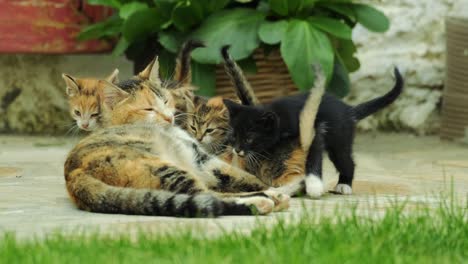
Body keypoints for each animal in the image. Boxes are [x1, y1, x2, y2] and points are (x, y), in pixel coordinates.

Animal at [62, 57, 288, 217]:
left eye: (164, 100)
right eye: (148, 108)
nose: (170, 117)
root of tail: (74, 175)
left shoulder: (201, 158)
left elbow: (242, 177)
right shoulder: (200, 159)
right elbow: (237, 179)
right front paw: (270, 192)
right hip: (163, 168)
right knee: (207, 197)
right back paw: (263, 201)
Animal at [221, 46, 404, 197]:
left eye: (249, 138)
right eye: (233, 136)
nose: (237, 149)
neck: (281, 119)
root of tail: (347, 110)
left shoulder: (313, 130)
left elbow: (313, 156)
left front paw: (314, 185)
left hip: (339, 138)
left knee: (345, 159)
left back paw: (344, 185)